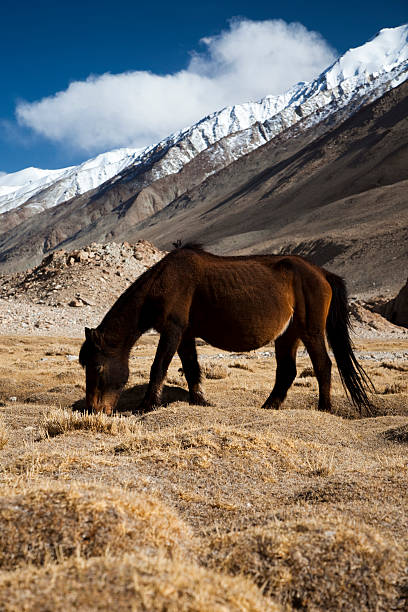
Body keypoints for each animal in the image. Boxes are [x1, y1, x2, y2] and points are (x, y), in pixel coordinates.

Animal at [79, 244, 372, 416]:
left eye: (98, 367)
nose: (94, 410)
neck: (162, 283)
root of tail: (322, 273)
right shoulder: (185, 335)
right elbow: (191, 368)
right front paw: (199, 401)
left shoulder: (172, 331)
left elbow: (158, 367)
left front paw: (146, 406)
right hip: (288, 335)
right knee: (287, 371)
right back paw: (268, 407)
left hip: (310, 330)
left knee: (323, 365)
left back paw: (324, 409)